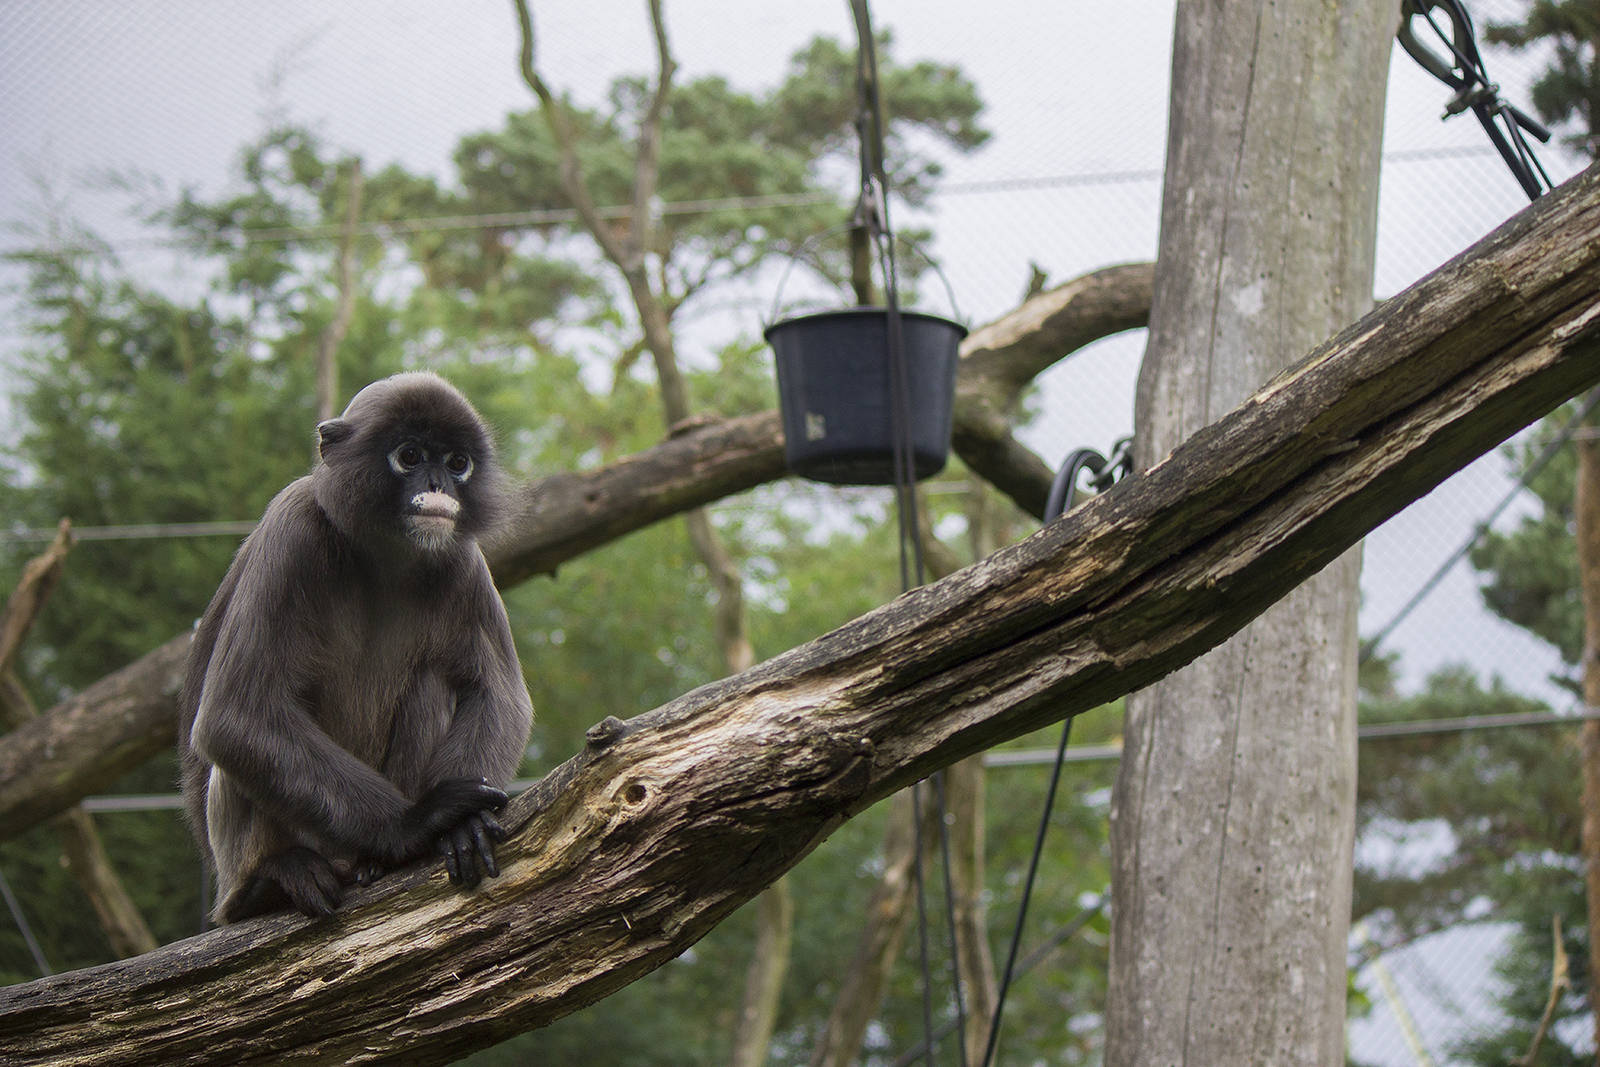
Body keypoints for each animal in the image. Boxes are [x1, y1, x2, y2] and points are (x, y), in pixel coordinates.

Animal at [178, 372, 533, 924]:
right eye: (409, 455)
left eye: (457, 462)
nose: (438, 486)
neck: (382, 555)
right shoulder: (292, 528)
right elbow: (232, 716)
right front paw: (418, 822)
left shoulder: (463, 560)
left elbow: (499, 695)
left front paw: (460, 826)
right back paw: (271, 880)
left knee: (435, 682)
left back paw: (375, 863)